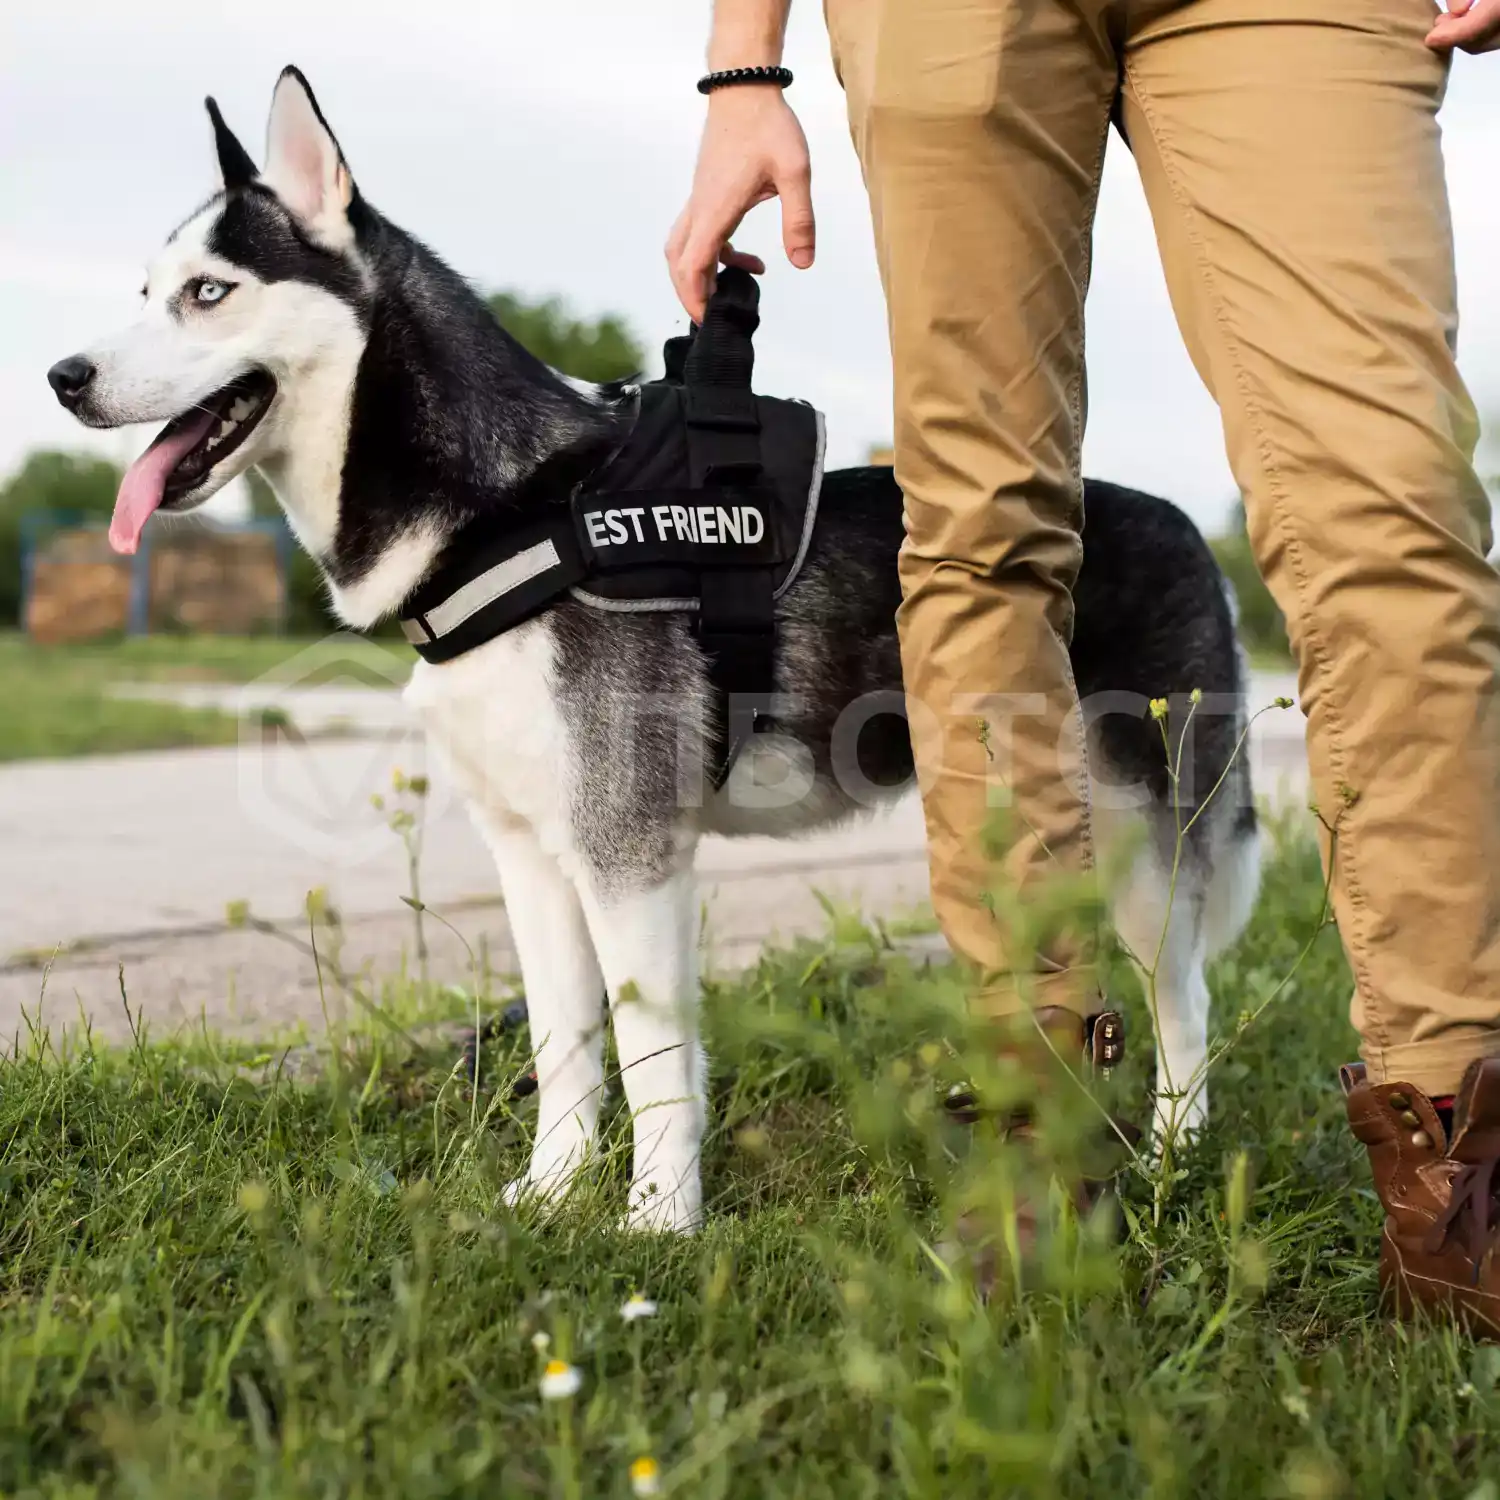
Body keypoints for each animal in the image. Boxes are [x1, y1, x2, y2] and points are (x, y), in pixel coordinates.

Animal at [48, 68, 1261, 1231]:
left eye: (211, 293)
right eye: (146, 292)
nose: (63, 376)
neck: (508, 511)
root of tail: (1182, 522)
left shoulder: (627, 853)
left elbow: (653, 1059)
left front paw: (660, 1220)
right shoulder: (535, 857)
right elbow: (567, 1048)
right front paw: (552, 1193)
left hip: (1144, 848)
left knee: (1185, 1002)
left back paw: (1173, 1161)